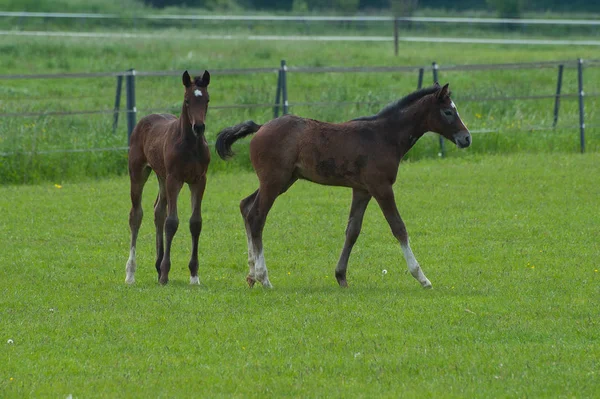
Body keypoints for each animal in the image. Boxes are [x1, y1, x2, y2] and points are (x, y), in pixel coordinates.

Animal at [125, 71, 212, 284]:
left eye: (207, 99)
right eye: (187, 100)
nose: (199, 127)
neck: (190, 146)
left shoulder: (199, 180)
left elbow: (195, 222)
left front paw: (194, 275)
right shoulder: (175, 179)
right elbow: (172, 222)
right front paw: (165, 274)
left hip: (161, 176)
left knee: (158, 211)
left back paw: (157, 265)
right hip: (138, 173)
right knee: (136, 215)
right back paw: (131, 274)